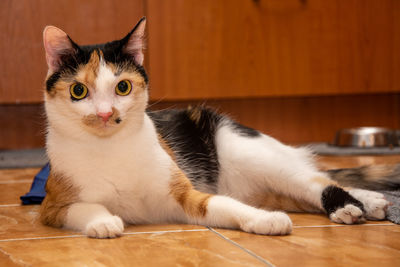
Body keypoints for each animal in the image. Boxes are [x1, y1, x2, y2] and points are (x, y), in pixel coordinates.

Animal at [39, 17, 396, 239]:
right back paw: (369, 202)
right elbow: (82, 207)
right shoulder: (50, 208)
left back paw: (353, 204)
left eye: (122, 87)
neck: (110, 147)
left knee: (314, 180)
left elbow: (224, 205)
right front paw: (102, 221)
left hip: (249, 152)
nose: (105, 114)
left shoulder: (187, 195)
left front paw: (265, 220)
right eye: (78, 91)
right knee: (301, 187)